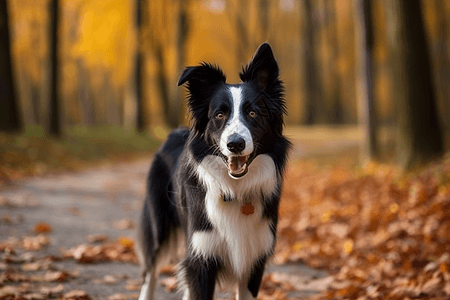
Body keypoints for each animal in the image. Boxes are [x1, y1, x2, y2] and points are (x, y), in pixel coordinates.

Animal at [137, 42, 290, 300]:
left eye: (253, 113)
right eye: (219, 115)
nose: (235, 144)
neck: (235, 189)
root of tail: (173, 133)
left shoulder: (254, 259)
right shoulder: (201, 257)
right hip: (158, 223)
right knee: (150, 271)